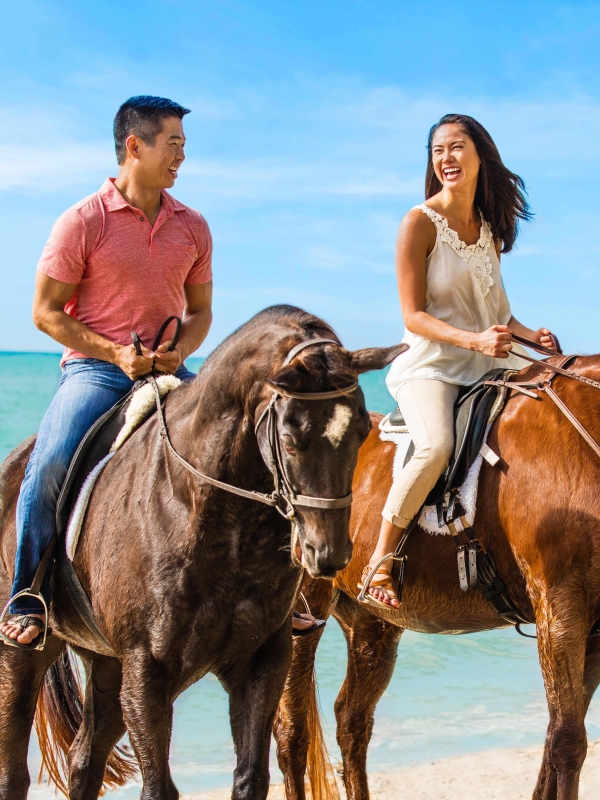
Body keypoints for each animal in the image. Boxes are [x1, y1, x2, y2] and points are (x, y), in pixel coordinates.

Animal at [0, 306, 406, 800]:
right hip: (24, 654)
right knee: (15, 770)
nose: (326, 554)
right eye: (291, 437)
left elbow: (250, 778)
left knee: (85, 759)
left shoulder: (261, 663)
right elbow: (159, 787)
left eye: (363, 431)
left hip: (106, 664)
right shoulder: (147, 675)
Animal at [276, 356, 600, 800]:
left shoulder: (593, 626)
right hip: (305, 613)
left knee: (352, 720)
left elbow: (555, 737)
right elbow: (568, 742)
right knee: (291, 730)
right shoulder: (560, 607)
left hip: (371, 624)